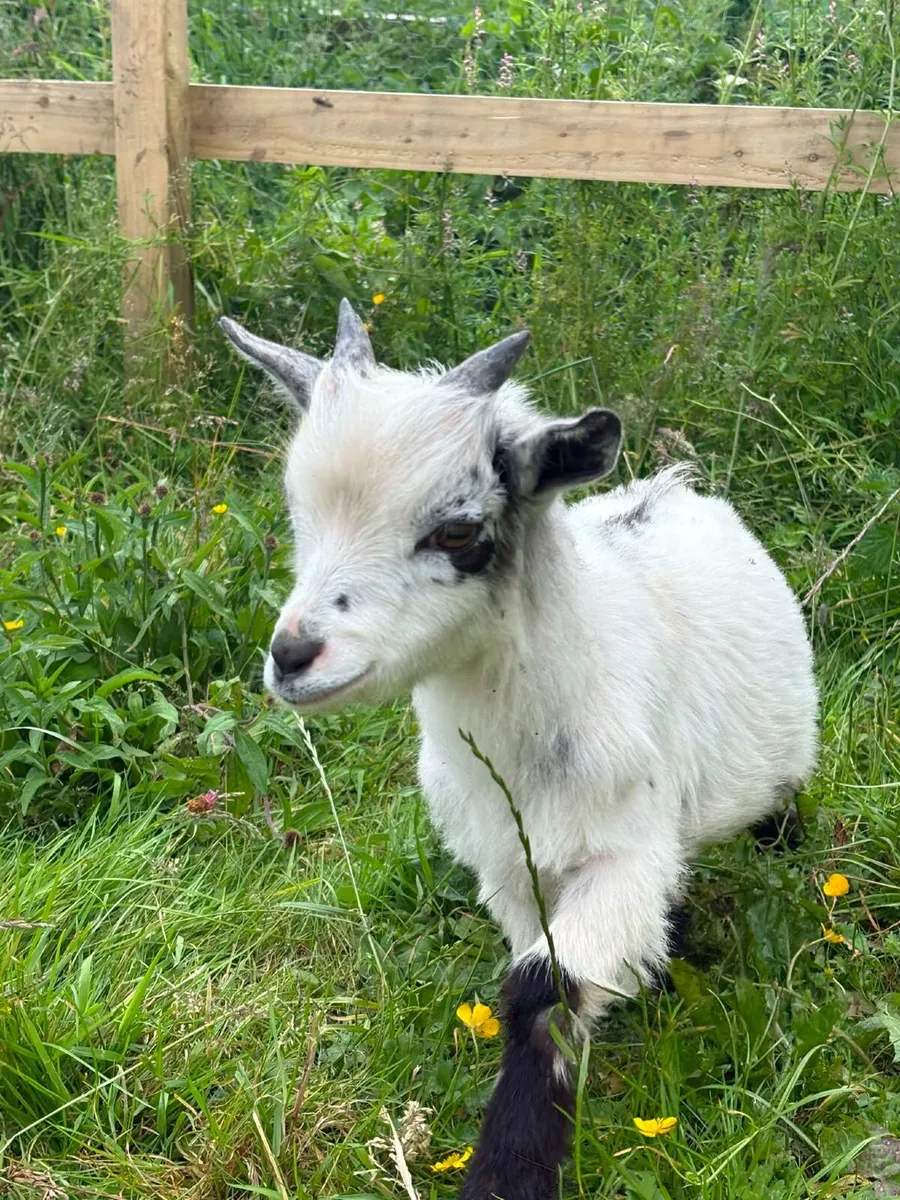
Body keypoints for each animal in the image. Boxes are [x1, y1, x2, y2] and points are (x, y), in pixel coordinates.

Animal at [220, 301, 818, 1200]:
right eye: (299, 517)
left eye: (456, 531)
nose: (293, 657)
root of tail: (673, 489)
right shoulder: (507, 864)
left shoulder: (621, 851)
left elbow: (541, 990)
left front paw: (509, 1169)